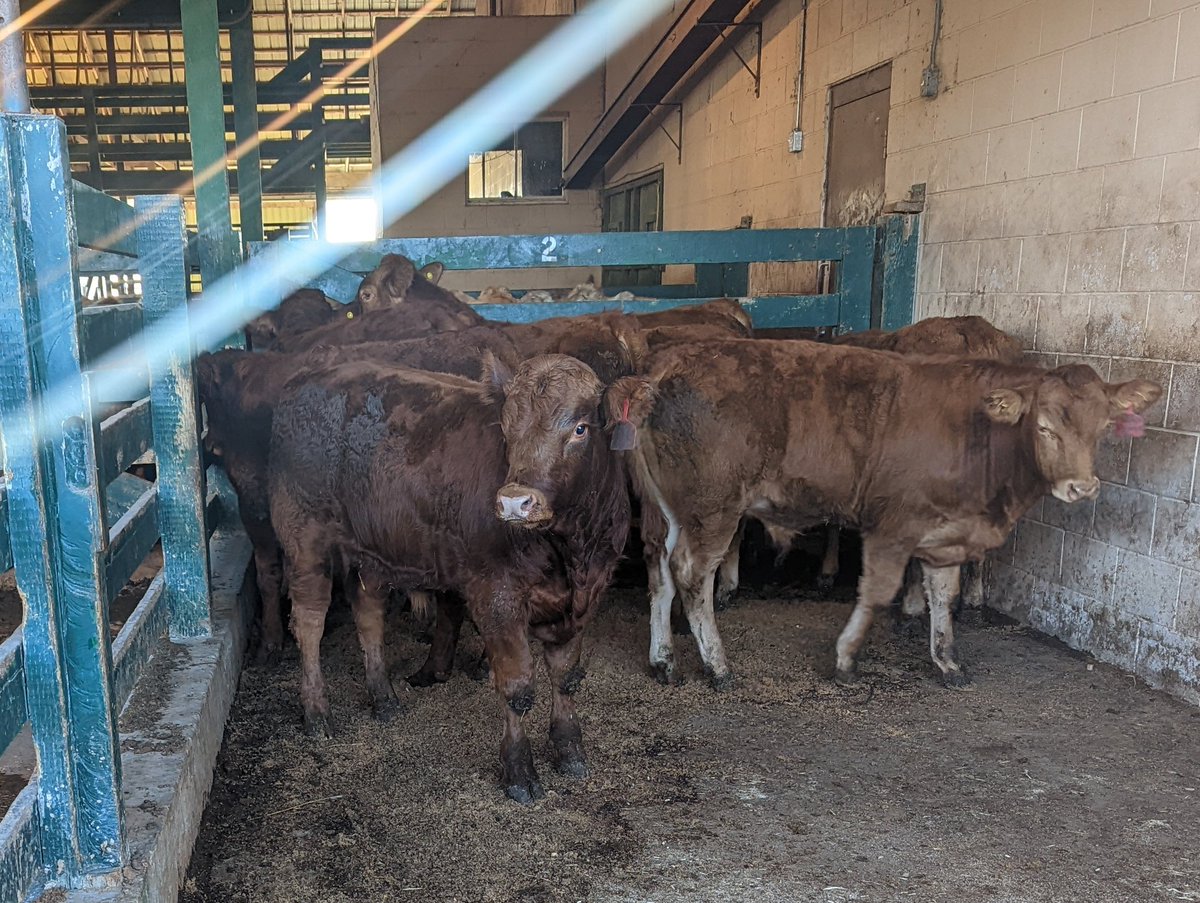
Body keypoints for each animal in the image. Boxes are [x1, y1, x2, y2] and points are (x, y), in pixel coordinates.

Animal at [267, 355, 644, 803]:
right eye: (507, 428)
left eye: (581, 428)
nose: (515, 501)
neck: (572, 551)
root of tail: (311, 375)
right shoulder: (496, 596)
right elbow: (517, 688)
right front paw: (519, 772)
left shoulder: (584, 599)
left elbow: (566, 678)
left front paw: (570, 750)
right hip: (304, 539)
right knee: (309, 622)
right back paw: (317, 713)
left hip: (370, 551)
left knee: (368, 615)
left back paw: (384, 698)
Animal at [611, 339, 1161, 691]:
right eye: (1044, 426)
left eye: (1103, 426)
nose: (1081, 486)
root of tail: (665, 366)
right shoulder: (895, 525)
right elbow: (876, 592)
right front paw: (846, 658)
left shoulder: (947, 532)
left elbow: (944, 595)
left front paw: (946, 660)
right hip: (713, 508)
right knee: (690, 573)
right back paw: (717, 666)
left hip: (671, 510)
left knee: (659, 570)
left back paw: (663, 660)